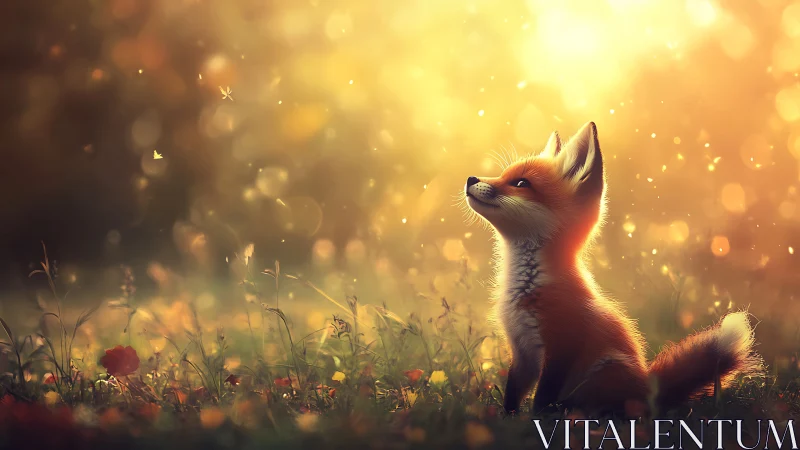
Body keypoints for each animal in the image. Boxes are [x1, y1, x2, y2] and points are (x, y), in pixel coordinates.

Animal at [464, 122, 761, 416]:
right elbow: (512, 396)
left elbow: (542, 399)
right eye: (503, 175)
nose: (470, 179)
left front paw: (537, 422)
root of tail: (646, 390)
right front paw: (508, 420)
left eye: (521, 183)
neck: (527, 284)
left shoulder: (561, 346)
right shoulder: (521, 351)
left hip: (601, 374)